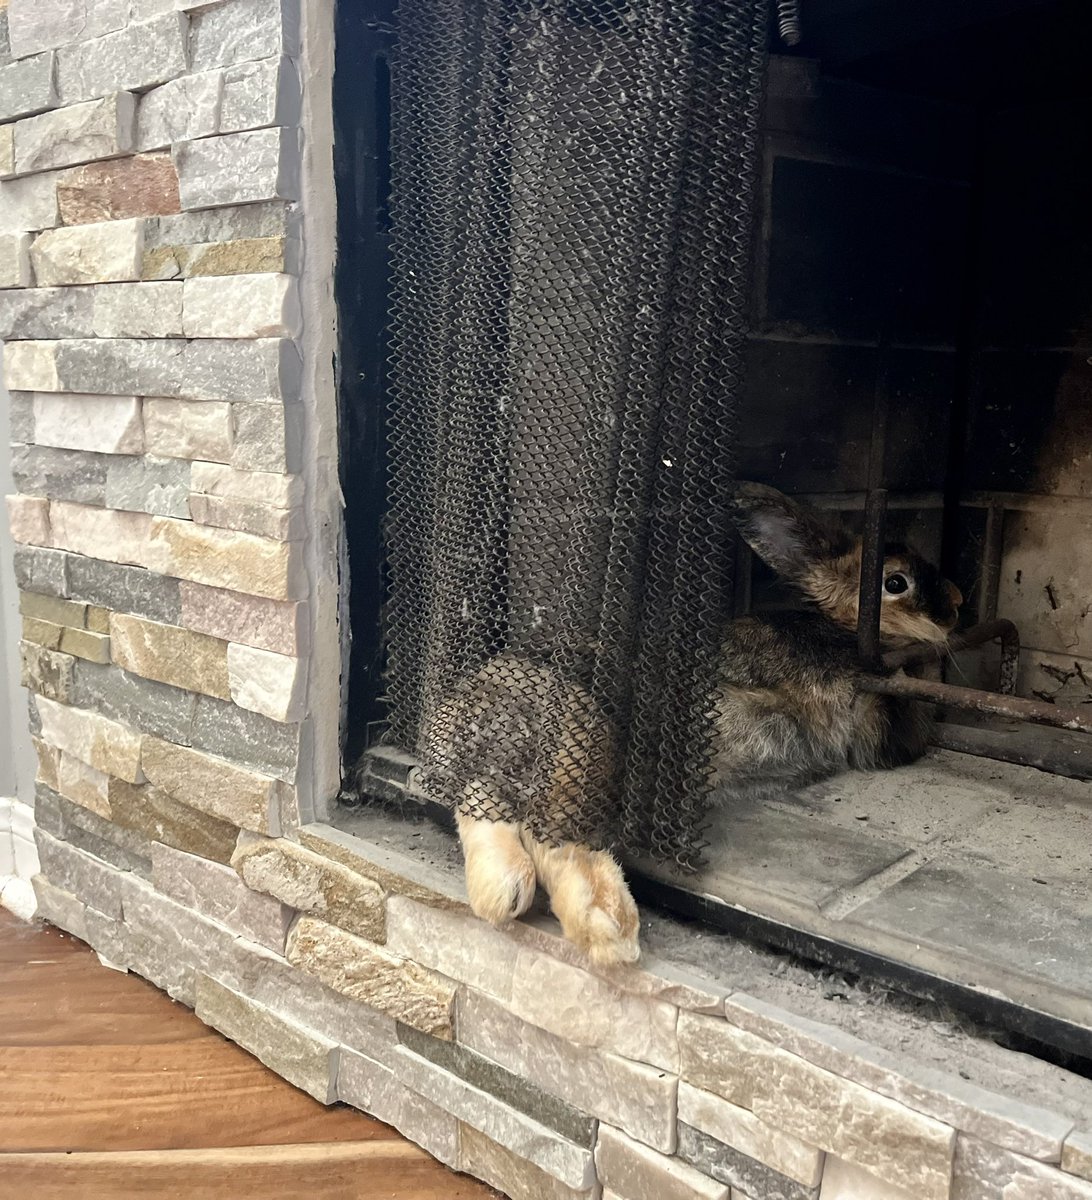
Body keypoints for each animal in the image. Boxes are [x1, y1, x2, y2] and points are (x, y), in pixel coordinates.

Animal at [437, 483, 960, 967]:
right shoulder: (874, 719)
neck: (842, 628)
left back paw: (505, 894)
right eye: (897, 582)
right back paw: (612, 929)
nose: (956, 601)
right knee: (556, 841)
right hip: (585, 751)